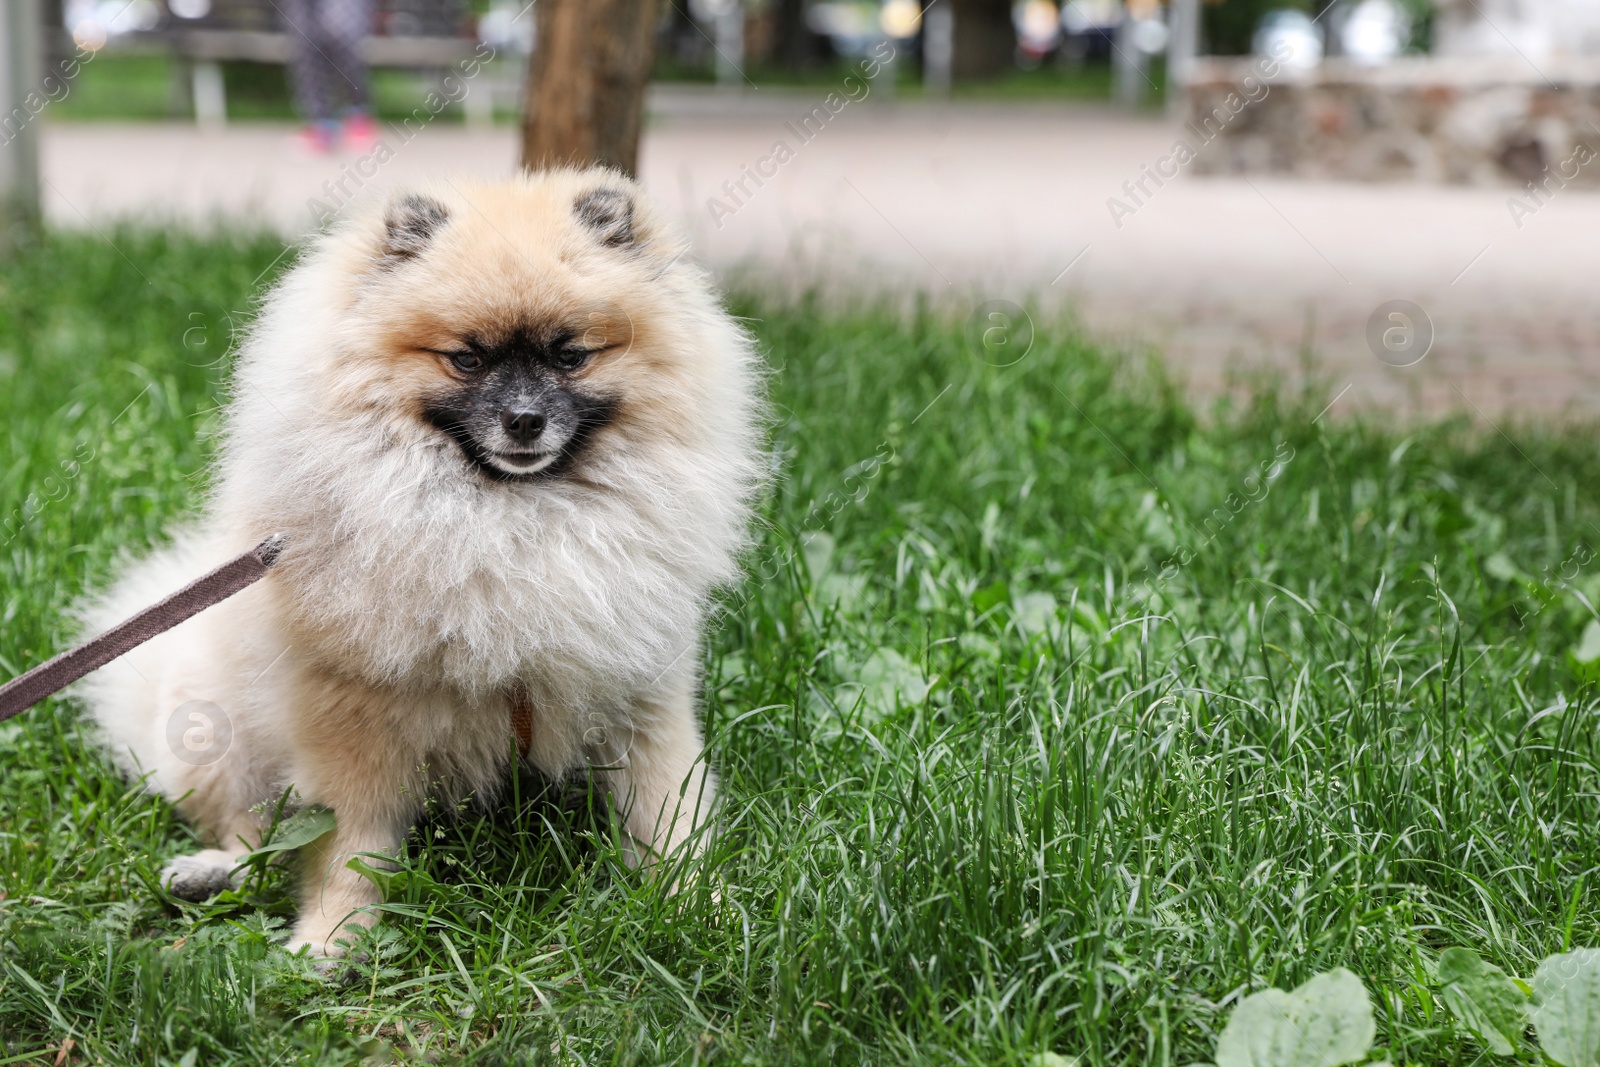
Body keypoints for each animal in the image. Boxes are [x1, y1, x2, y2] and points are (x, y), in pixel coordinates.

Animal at [78, 168, 764, 959]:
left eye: (570, 356)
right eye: (466, 358)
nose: (524, 420)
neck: (509, 521)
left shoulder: (639, 692)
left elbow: (668, 815)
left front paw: (701, 910)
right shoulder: (355, 716)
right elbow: (350, 845)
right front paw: (334, 940)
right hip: (215, 722)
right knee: (251, 830)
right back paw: (210, 872)